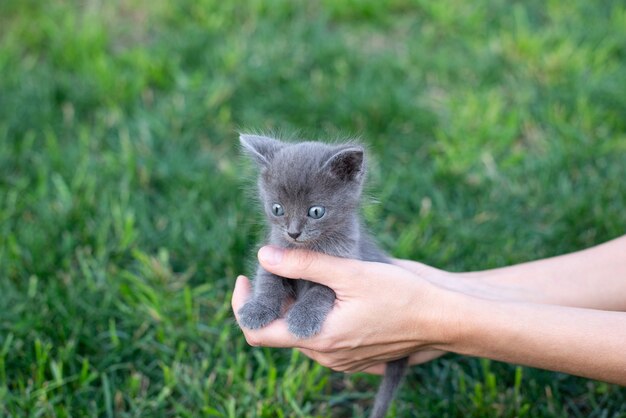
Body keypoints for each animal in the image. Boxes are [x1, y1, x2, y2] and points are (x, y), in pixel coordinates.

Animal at [236, 134, 408, 418]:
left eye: (316, 211)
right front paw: (257, 310)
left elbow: (319, 291)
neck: (308, 248)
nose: (293, 233)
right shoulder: (274, 253)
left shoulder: (345, 265)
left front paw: (303, 319)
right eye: (277, 209)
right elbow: (268, 280)